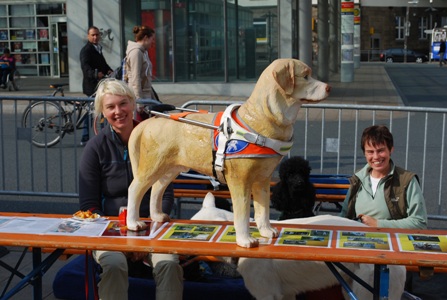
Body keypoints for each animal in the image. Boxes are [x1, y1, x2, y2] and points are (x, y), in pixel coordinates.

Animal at [128, 58, 330, 248]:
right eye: (305, 76)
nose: (329, 87)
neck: (261, 119)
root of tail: (150, 121)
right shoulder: (239, 181)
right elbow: (242, 215)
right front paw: (245, 240)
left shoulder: (262, 179)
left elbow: (263, 209)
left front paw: (266, 231)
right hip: (152, 165)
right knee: (135, 189)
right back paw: (133, 223)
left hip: (171, 168)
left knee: (157, 188)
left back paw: (157, 216)